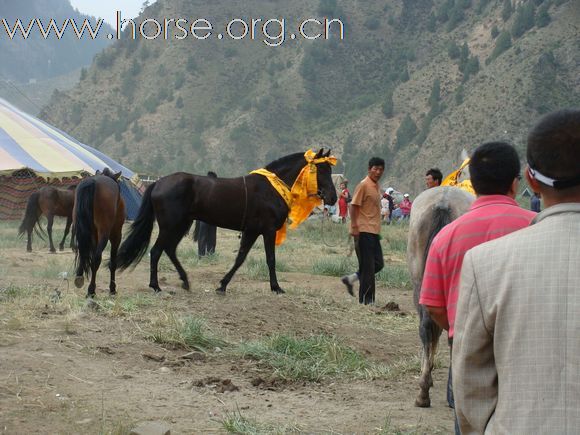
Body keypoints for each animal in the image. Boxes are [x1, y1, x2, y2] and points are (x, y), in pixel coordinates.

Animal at [73, 169, 125, 298]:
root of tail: (93, 182)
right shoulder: (116, 235)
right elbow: (113, 262)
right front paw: (112, 289)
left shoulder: (94, 236)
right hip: (105, 232)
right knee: (96, 259)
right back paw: (91, 290)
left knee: (84, 252)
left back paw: (79, 278)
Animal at [116, 148, 338, 294]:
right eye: (321, 171)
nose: (333, 197)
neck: (271, 188)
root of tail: (158, 182)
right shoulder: (267, 230)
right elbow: (270, 259)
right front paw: (276, 287)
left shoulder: (251, 231)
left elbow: (240, 259)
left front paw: (222, 285)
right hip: (170, 226)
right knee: (156, 251)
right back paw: (156, 286)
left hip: (181, 225)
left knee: (169, 250)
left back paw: (185, 281)